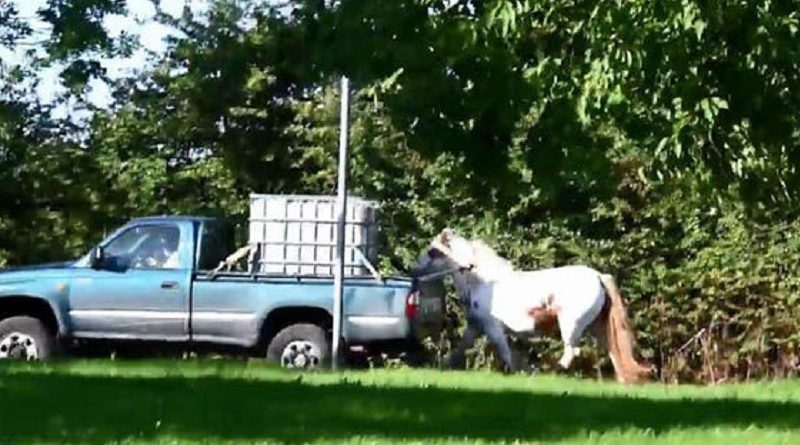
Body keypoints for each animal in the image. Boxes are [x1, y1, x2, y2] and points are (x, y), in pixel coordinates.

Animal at [416, 229, 652, 382]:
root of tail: (599, 276)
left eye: (432, 251)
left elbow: (505, 351)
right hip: (598, 326)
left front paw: (520, 371)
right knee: (612, 350)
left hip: (571, 324)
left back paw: (553, 371)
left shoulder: (493, 327)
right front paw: (442, 366)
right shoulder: (475, 326)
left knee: (572, 352)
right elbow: (459, 349)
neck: (481, 282)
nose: (412, 268)